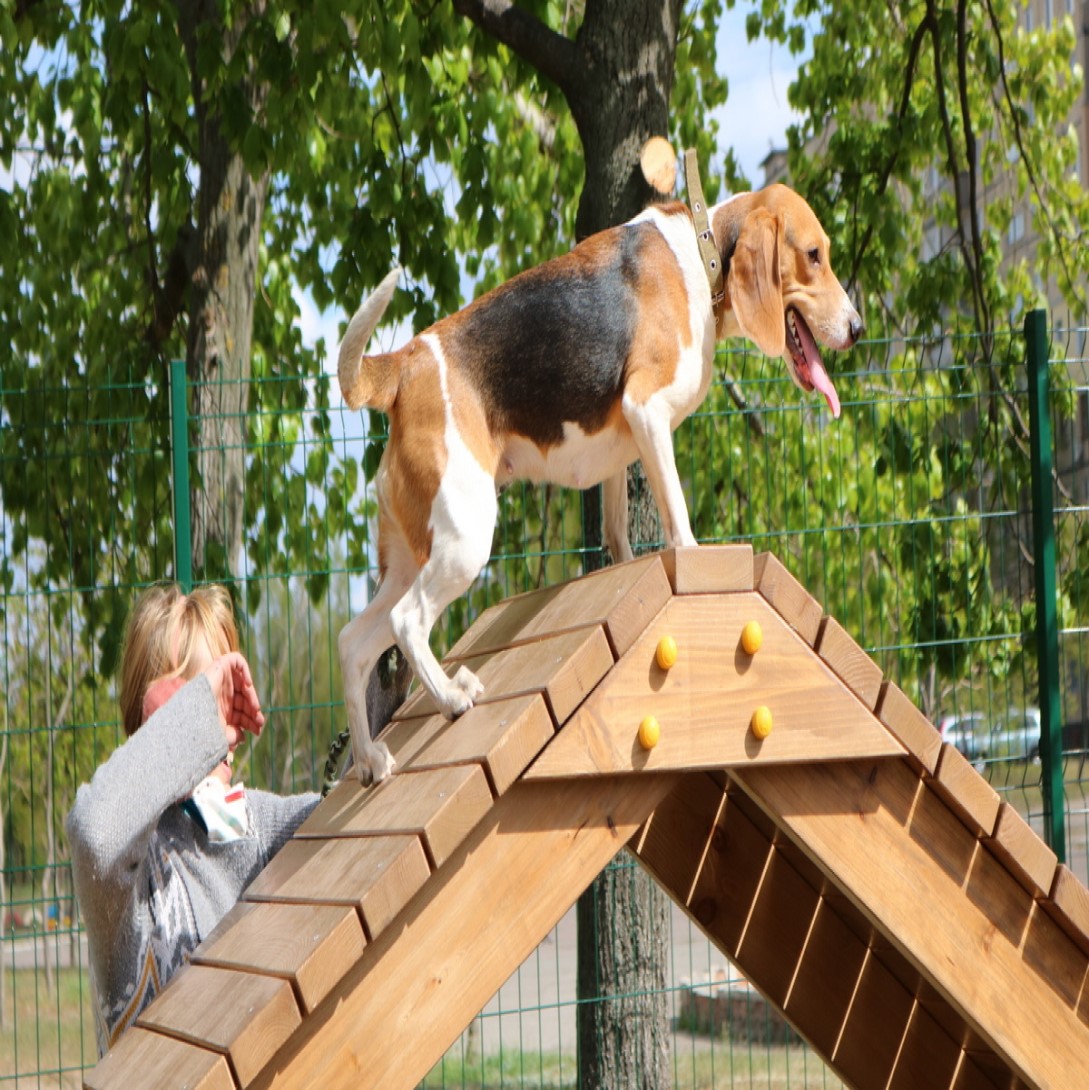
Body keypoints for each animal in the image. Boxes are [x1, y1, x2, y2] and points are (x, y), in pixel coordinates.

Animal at [335, 183, 863, 780]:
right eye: (814, 255)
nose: (858, 329)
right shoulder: (647, 409)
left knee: (353, 643)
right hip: (464, 541)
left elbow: (617, 535)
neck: (701, 253)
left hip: (410, 558)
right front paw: (695, 560)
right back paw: (451, 696)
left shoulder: (623, 450)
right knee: (408, 621)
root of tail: (405, 365)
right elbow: (679, 519)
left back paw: (371, 758)